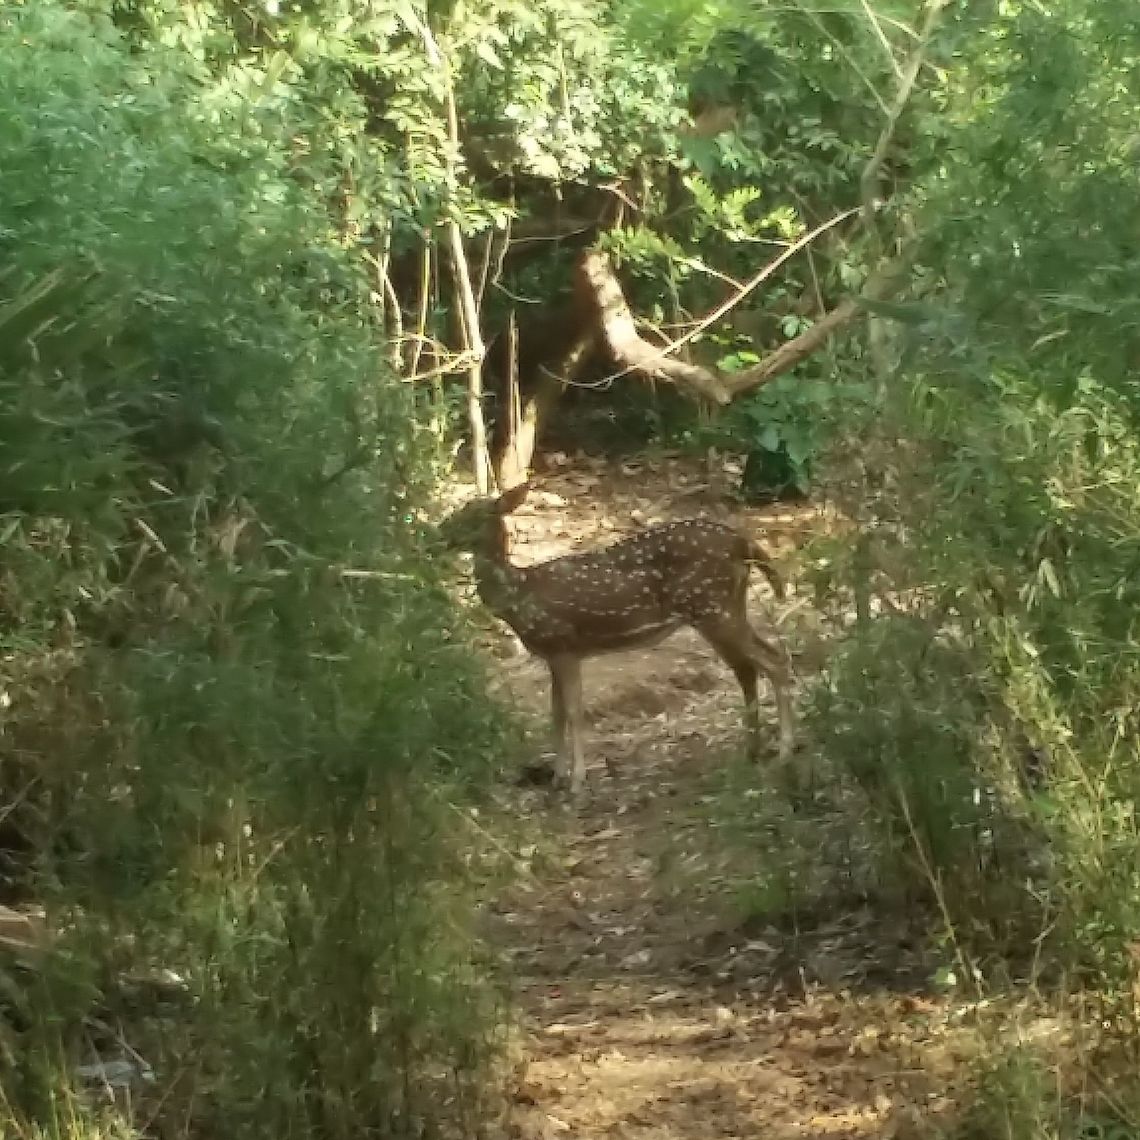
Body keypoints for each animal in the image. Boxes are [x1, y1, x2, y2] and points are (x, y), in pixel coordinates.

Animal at [436, 482, 796, 796]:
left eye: (472, 514)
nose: (437, 535)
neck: (521, 594)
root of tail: (743, 544)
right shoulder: (552, 654)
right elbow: (555, 714)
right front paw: (557, 777)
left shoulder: (565, 645)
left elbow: (574, 712)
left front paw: (577, 782)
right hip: (722, 609)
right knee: (749, 668)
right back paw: (753, 750)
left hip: (714, 607)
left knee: (774, 661)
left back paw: (785, 751)